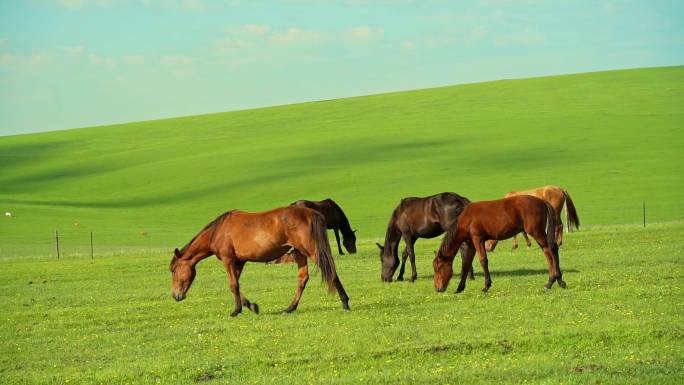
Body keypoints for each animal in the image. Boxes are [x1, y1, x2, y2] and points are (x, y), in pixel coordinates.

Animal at [169, 204, 350, 316]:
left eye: (173, 270)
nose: (176, 296)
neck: (219, 231)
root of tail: (311, 213)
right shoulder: (239, 262)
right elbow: (237, 285)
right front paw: (251, 306)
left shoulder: (228, 260)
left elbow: (233, 285)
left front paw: (236, 310)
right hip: (299, 253)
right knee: (303, 278)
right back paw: (290, 308)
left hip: (311, 251)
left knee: (330, 271)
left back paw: (345, 302)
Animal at [432, 196, 568, 292]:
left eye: (438, 268)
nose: (438, 289)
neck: (466, 219)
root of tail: (542, 201)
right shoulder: (471, 245)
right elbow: (466, 265)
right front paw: (460, 288)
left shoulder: (478, 240)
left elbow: (483, 261)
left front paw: (486, 286)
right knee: (551, 250)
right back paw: (556, 281)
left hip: (536, 232)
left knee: (550, 251)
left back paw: (553, 281)